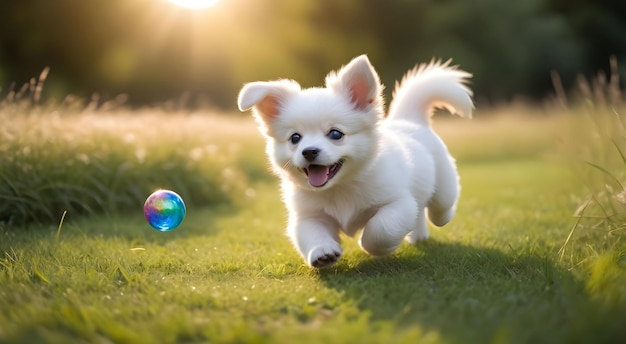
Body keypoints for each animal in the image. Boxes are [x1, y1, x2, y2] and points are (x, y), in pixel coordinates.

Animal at [236, 55, 470, 268]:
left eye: (335, 134)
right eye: (295, 138)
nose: (309, 151)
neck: (340, 187)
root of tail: (409, 120)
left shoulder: (399, 202)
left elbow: (382, 228)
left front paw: (369, 245)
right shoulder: (308, 216)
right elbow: (313, 234)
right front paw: (322, 252)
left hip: (443, 186)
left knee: (440, 206)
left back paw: (441, 217)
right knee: (420, 211)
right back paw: (418, 236)